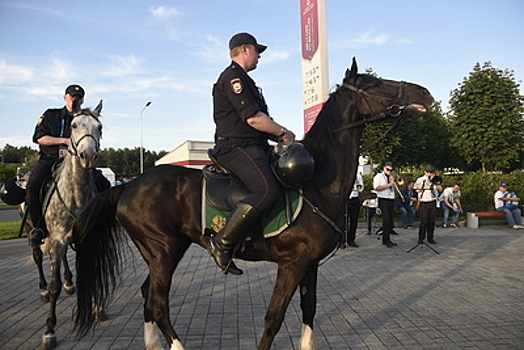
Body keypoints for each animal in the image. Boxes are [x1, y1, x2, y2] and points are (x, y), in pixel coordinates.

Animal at [72, 58, 434, 348]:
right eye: (375, 82)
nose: (425, 93)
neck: (316, 182)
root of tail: (128, 186)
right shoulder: (292, 265)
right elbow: (274, 318)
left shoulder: (310, 265)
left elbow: (309, 311)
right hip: (164, 252)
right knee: (158, 304)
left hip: (163, 253)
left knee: (148, 298)